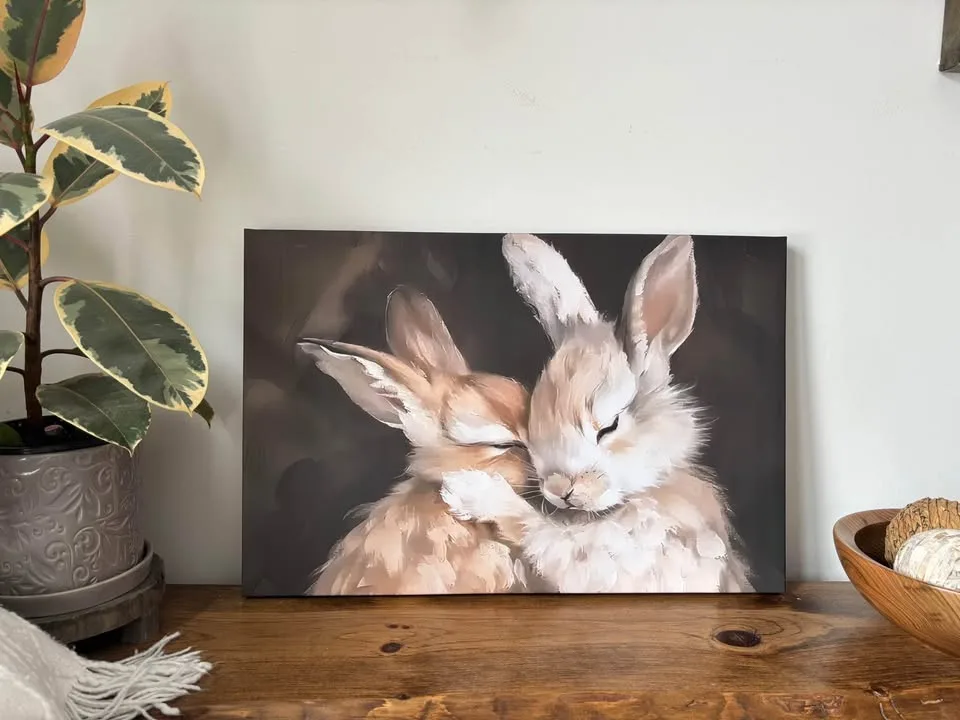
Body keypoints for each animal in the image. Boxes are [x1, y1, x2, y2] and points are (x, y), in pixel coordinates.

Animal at [440, 233, 754, 593]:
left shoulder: (610, 559)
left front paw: (468, 491)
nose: (560, 490)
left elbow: (537, 531)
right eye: (534, 426)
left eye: (609, 426)